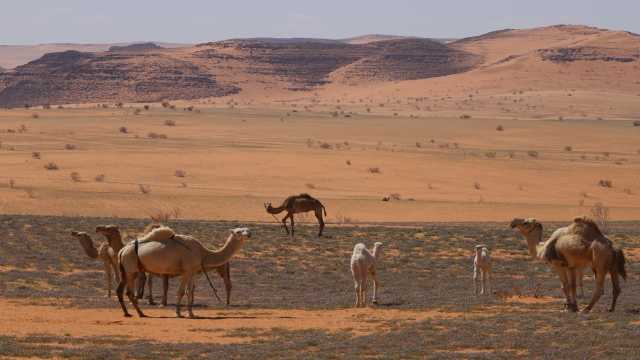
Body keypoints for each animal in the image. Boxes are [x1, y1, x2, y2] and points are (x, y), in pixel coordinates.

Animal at [116, 225, 249, 318]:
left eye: (247, 229)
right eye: (238, 231)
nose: (249, 233)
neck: (203, 253)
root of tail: (122, 250)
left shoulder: (192, 272)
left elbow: (189, 291)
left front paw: (191, 314)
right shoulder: (186, 271)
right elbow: (181, 292)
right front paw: (178, 313)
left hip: (125, 270)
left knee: (121, 290)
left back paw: (129, 313)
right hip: (131, 269)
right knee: (129, 292)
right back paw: (141, 313)